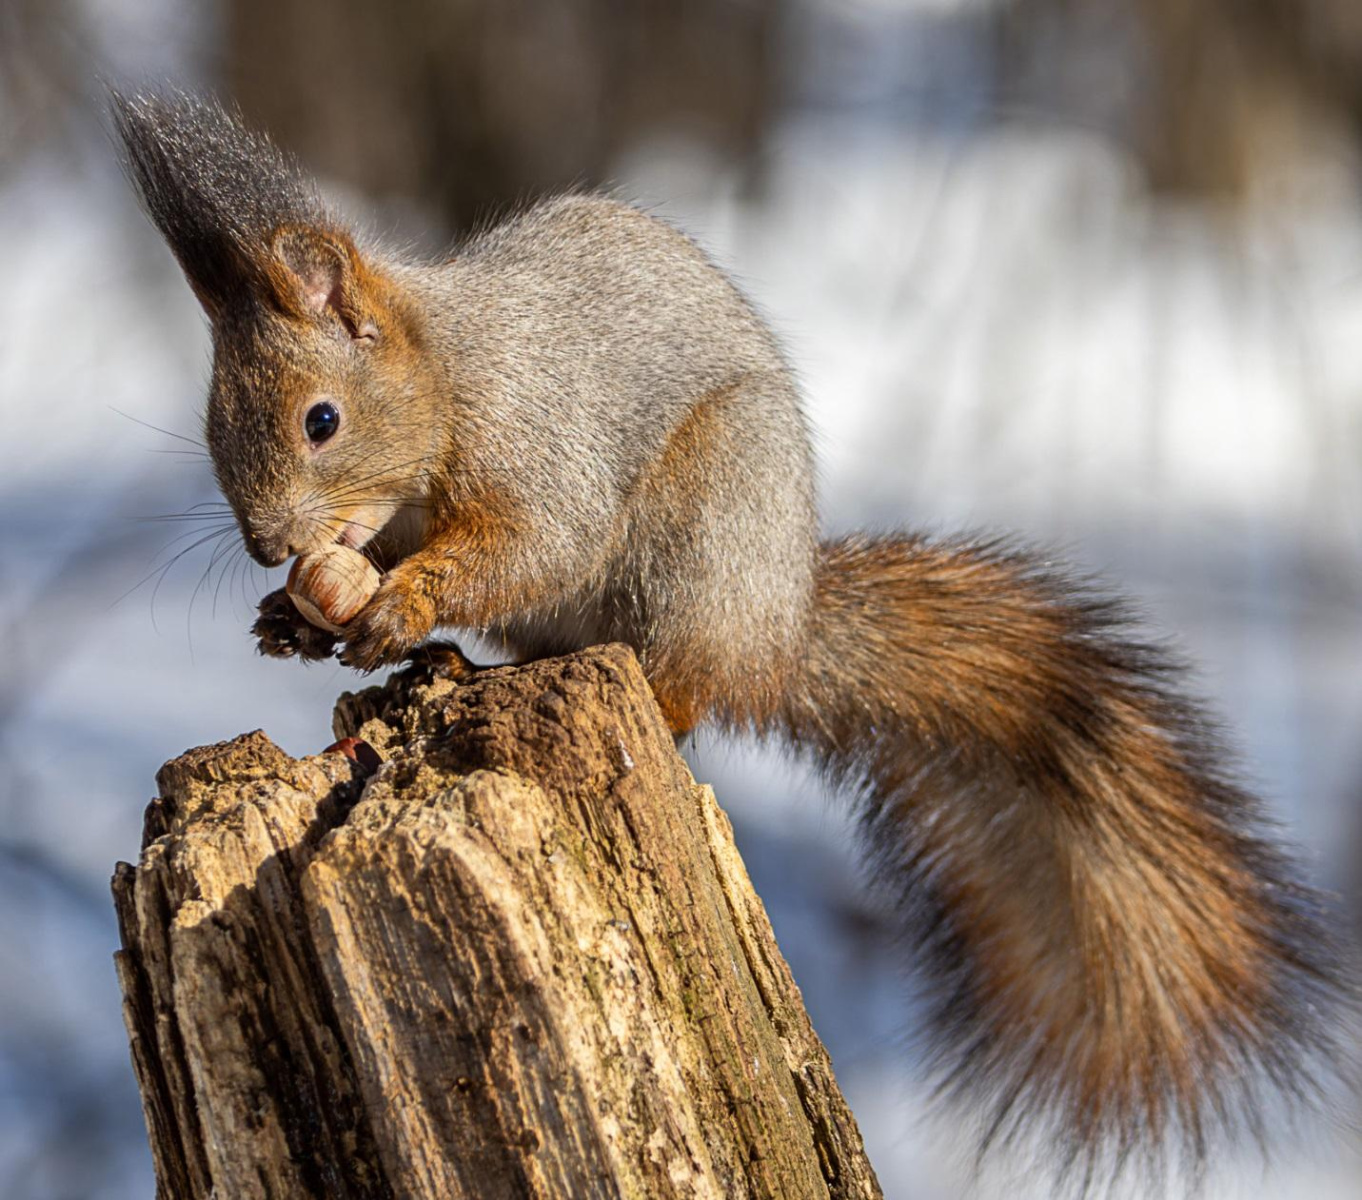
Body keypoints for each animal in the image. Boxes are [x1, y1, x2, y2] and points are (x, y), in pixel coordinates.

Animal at [111, 89, 1345, 1182]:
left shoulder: (539, 443)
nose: (270, 548)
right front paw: (292, 621)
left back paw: (589, 682)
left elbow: (533, 544)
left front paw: (397, 605)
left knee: (683, 687)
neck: (450, 376)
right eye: (217, 431)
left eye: (322, 421)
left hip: (706, 527)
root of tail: (780, 629)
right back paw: (460, 665)